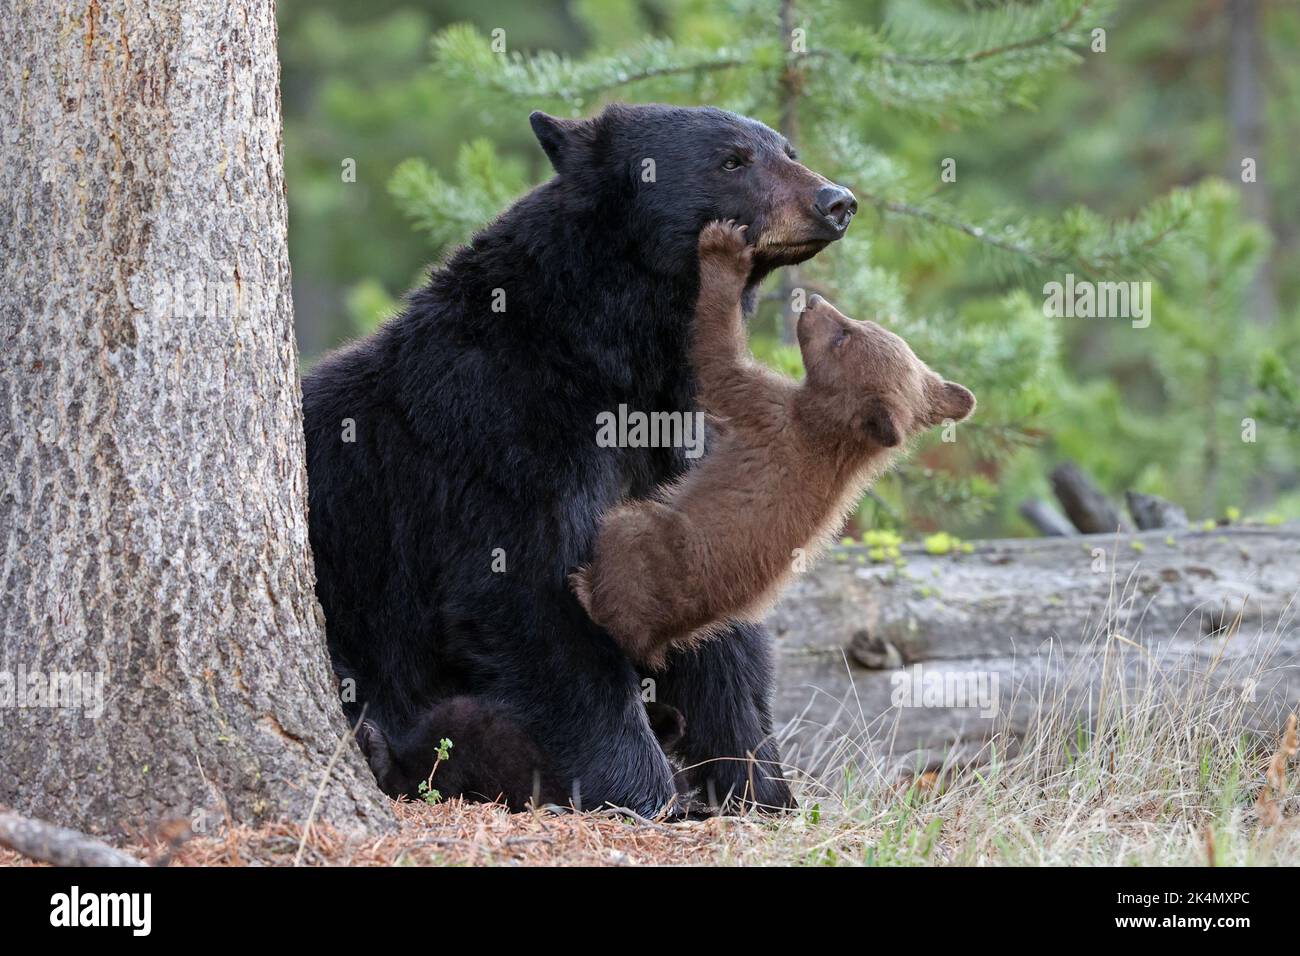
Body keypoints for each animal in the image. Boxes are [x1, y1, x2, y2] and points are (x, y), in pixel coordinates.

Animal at [301, 102, 852, 816]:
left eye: (788, 150)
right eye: (732, 160)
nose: (836, 200)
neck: (614, 355)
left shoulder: (681, 442)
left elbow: (712, 608)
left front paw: (759, 785)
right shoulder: (503, 433)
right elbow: (536, 598)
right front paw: (648, 793)